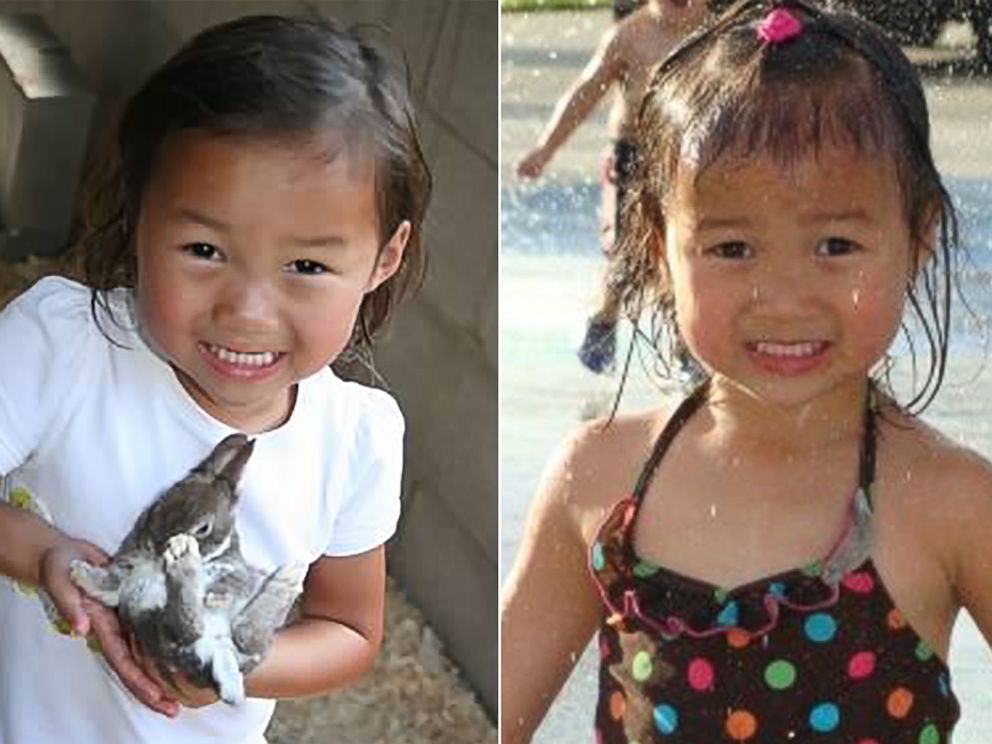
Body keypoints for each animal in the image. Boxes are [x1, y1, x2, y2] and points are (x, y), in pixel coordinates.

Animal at [70, 436, 304, 704]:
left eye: (203, 528)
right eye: (160, 501)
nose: (157, 545)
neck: (157, 565)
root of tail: (219, 651)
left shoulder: (236, 570)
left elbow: (232, 583)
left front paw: (216, 598)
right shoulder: (127, 576)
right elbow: (109, 584)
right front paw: (78, 572)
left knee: (239, 633)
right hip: (156, 626)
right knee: (198, 629)